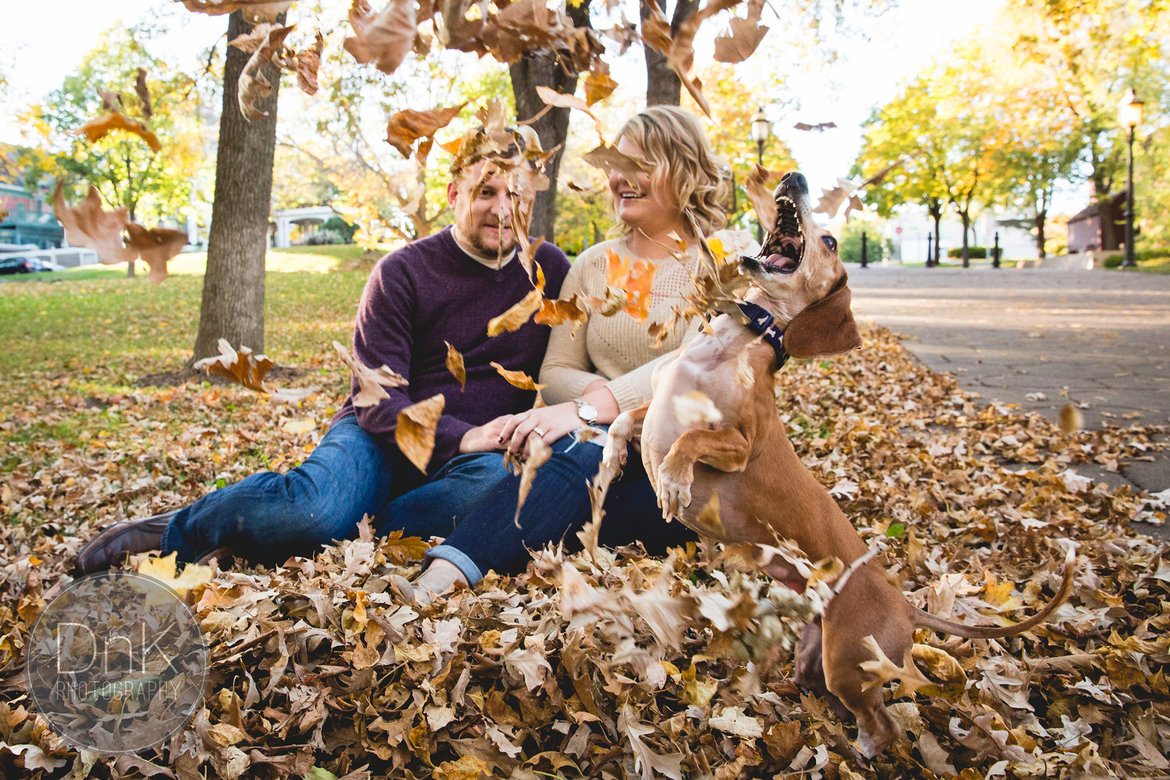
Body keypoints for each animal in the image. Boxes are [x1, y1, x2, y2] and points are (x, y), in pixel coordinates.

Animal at [599, 174, 1071, 757]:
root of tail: (905, 606)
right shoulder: (657, 408)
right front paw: (612, 458)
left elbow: (689, 442)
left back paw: (862, 752)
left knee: (883, 725)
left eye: (830, 242)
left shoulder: (739, 443)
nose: (795, 177)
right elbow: (624, 420)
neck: (733, 343)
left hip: (846, 661)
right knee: (826, 694)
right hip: (818, 656)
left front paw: (671, 484)